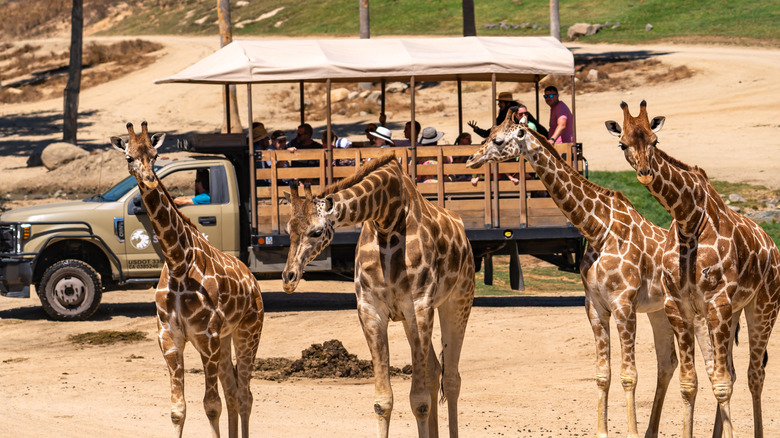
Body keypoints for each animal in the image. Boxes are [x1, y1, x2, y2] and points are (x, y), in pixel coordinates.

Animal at [110, 122, 264, 438]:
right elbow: (177, 409)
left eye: (155, 155)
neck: (178, 263)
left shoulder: (207, 337)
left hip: (248, 331)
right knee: (233, 392)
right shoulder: (170, 338)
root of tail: (253, 281)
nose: (149, 180)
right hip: (226, 338)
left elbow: (211, 406)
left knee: (245, 394)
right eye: (129, 157)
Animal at [281, 152, 475, 438]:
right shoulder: (371, 310)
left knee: (451, 378)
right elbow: (382, 401)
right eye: (287, 230)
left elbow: (419, 401)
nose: (288, 278)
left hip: (458, 300)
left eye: (316, 232)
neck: (387, 220)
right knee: (434, 371)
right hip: (411, 318)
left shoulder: (420, 306)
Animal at [465, 107, 713, 438]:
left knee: (714, 367)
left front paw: (631, 433)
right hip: (659, 311)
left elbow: (628, 375)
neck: (597, 229)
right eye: (489, 134)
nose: (470, 159)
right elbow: (602, 374)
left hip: (694, 313)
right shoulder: (595, 306)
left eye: (498, 140)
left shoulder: (623, 305)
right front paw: (603, 431)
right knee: (668, 363)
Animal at [606, 101, 780, 438]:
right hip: (734, 311)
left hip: (764, 306)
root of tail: (772, 244)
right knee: (734, 372)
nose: (645, 174)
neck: (688, 219)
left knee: (754, 374)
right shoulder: (679, 306)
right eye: (623, 144)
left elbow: (721, 383)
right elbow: (690, 383)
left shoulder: (717, 301)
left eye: (655, 140)